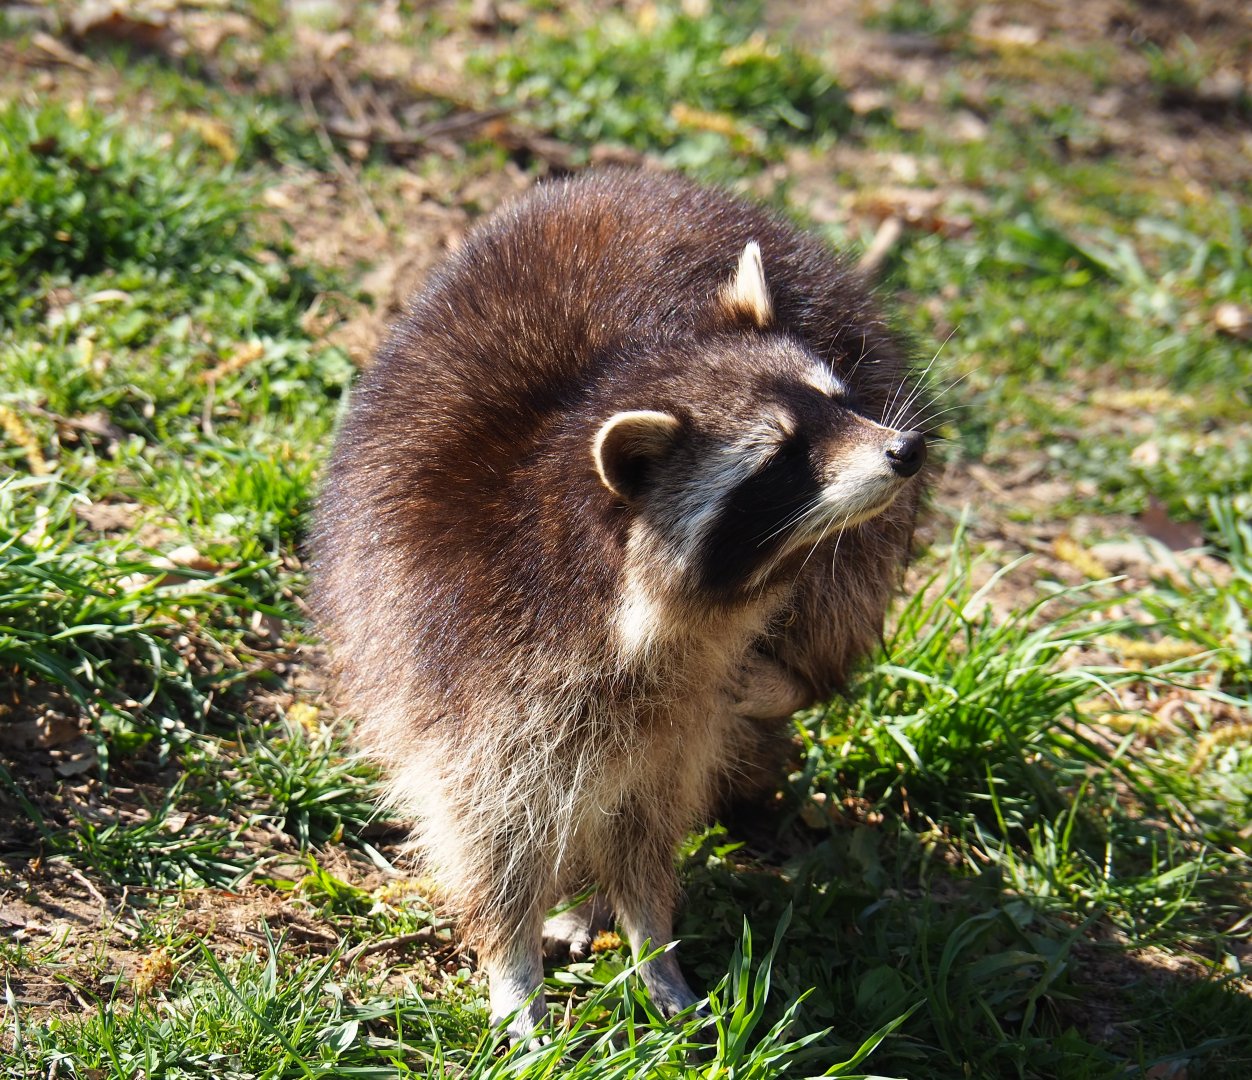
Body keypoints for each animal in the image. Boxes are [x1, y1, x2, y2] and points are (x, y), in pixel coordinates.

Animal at [314, 169, 932, 1038]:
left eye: (836, 401)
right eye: (782, 459)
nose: (907, 449)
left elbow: (646, 823)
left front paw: (649, 935)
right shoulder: (458, 648)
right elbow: (493, 826)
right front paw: (514, 962)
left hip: (866, 489)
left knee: (832, 616)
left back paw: (780, 685)